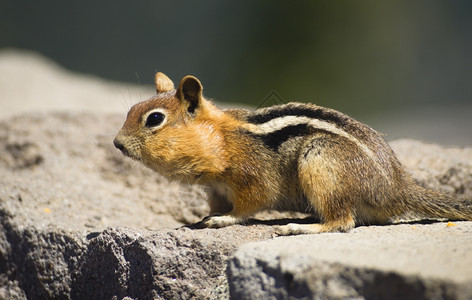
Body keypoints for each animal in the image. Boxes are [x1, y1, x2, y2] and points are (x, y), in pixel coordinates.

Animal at [114, 72, 472, 234]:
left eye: (154, 119)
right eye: (129, 110)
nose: (117, 143)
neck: (222, 140)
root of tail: (396, 188)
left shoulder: (251, 178)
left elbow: (248, 206)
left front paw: (224, 220)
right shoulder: (216, 190)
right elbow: (215, 206)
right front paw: (201, 218)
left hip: (320, 159)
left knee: (342, 221)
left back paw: (300, 226)